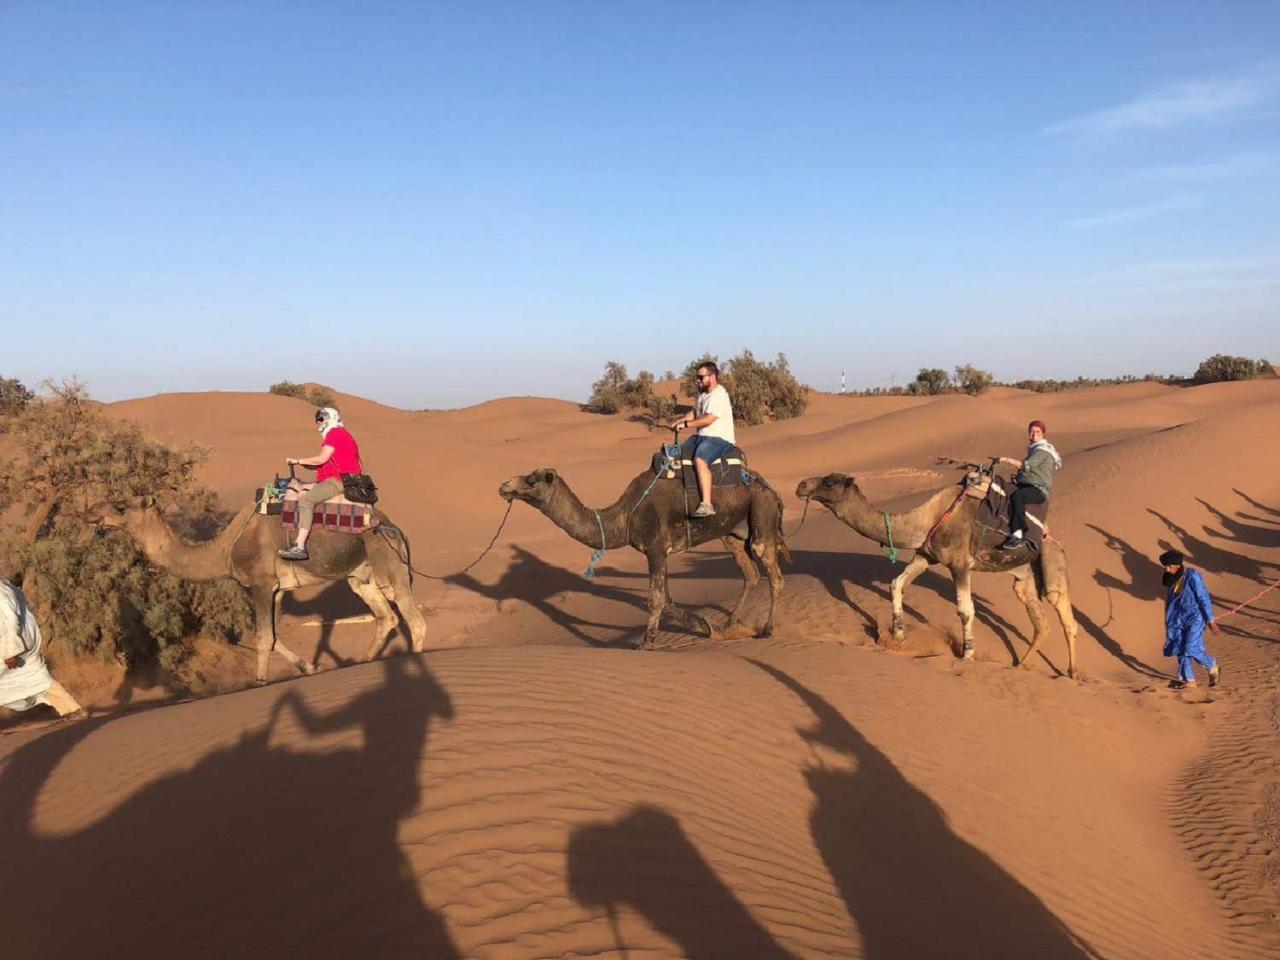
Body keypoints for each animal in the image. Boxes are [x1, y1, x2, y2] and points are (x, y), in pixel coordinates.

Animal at [91, 496, 430, 686]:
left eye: (121, 506)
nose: (92, 511)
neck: (226, 548)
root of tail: (396, 528)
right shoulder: (276, 589)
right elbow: (274, 637)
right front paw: (310, 665)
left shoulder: (261, 583)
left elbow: (263, 638)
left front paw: (259, 682)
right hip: (361, 576)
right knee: (386, 617)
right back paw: (364, 662)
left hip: (390, 566)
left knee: (414, 620)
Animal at [499, 465, 788, 647]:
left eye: (531, 479)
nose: (504, 485)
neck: (625, 516)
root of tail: (772, 489)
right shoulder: (661, 552)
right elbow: (667, 599)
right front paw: (705, 626)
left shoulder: (656, 548)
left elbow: (656, 599)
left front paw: (646, 644)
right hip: (733, 533)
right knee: (750, 573)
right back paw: (729, 625)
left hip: (762, 514)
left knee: (774, 575)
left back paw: (767, 630)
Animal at [788, 473, 1080, 675]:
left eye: (829, 482)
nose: (801, 484)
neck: (927, 519)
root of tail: (1054, 539)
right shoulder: (925, 555)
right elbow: (896, 584)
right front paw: (898, 636)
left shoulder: (959, 564)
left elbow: (965, 610)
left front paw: (967, 655)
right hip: (1024, 576)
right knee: (1040, 622)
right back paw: (1021, 665)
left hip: (1053, 564)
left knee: (1065, 615)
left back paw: (1072, 672)